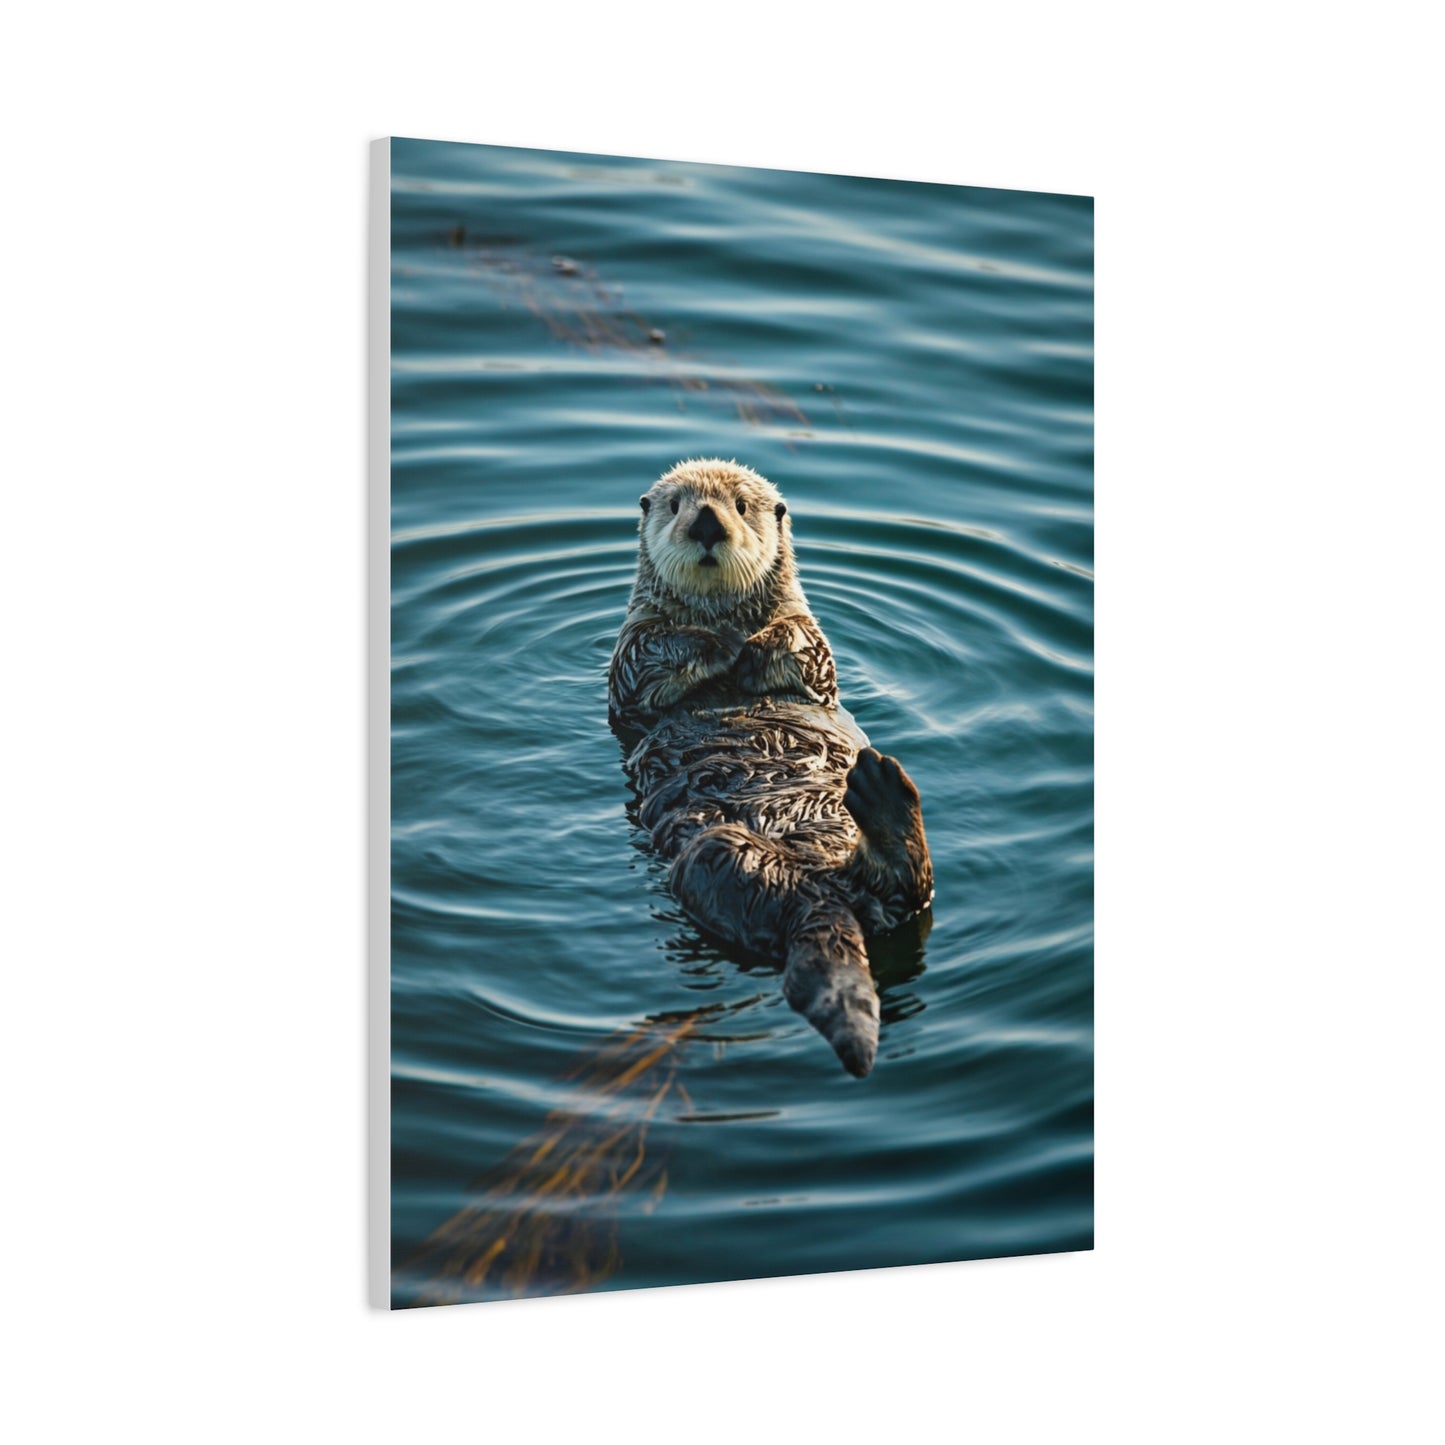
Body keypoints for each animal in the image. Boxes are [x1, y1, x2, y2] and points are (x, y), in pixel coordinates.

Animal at [609, 459, 933, 1077]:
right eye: (676, 505)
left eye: (740, 505)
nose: (707, 522)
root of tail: (825, 897)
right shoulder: (631, 652)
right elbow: (652, 652)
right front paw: (718, 644)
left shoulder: (813, 640)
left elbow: (806, 647)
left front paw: (753, 647)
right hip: (716, 860)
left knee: (908, 892)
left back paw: (882, 796)